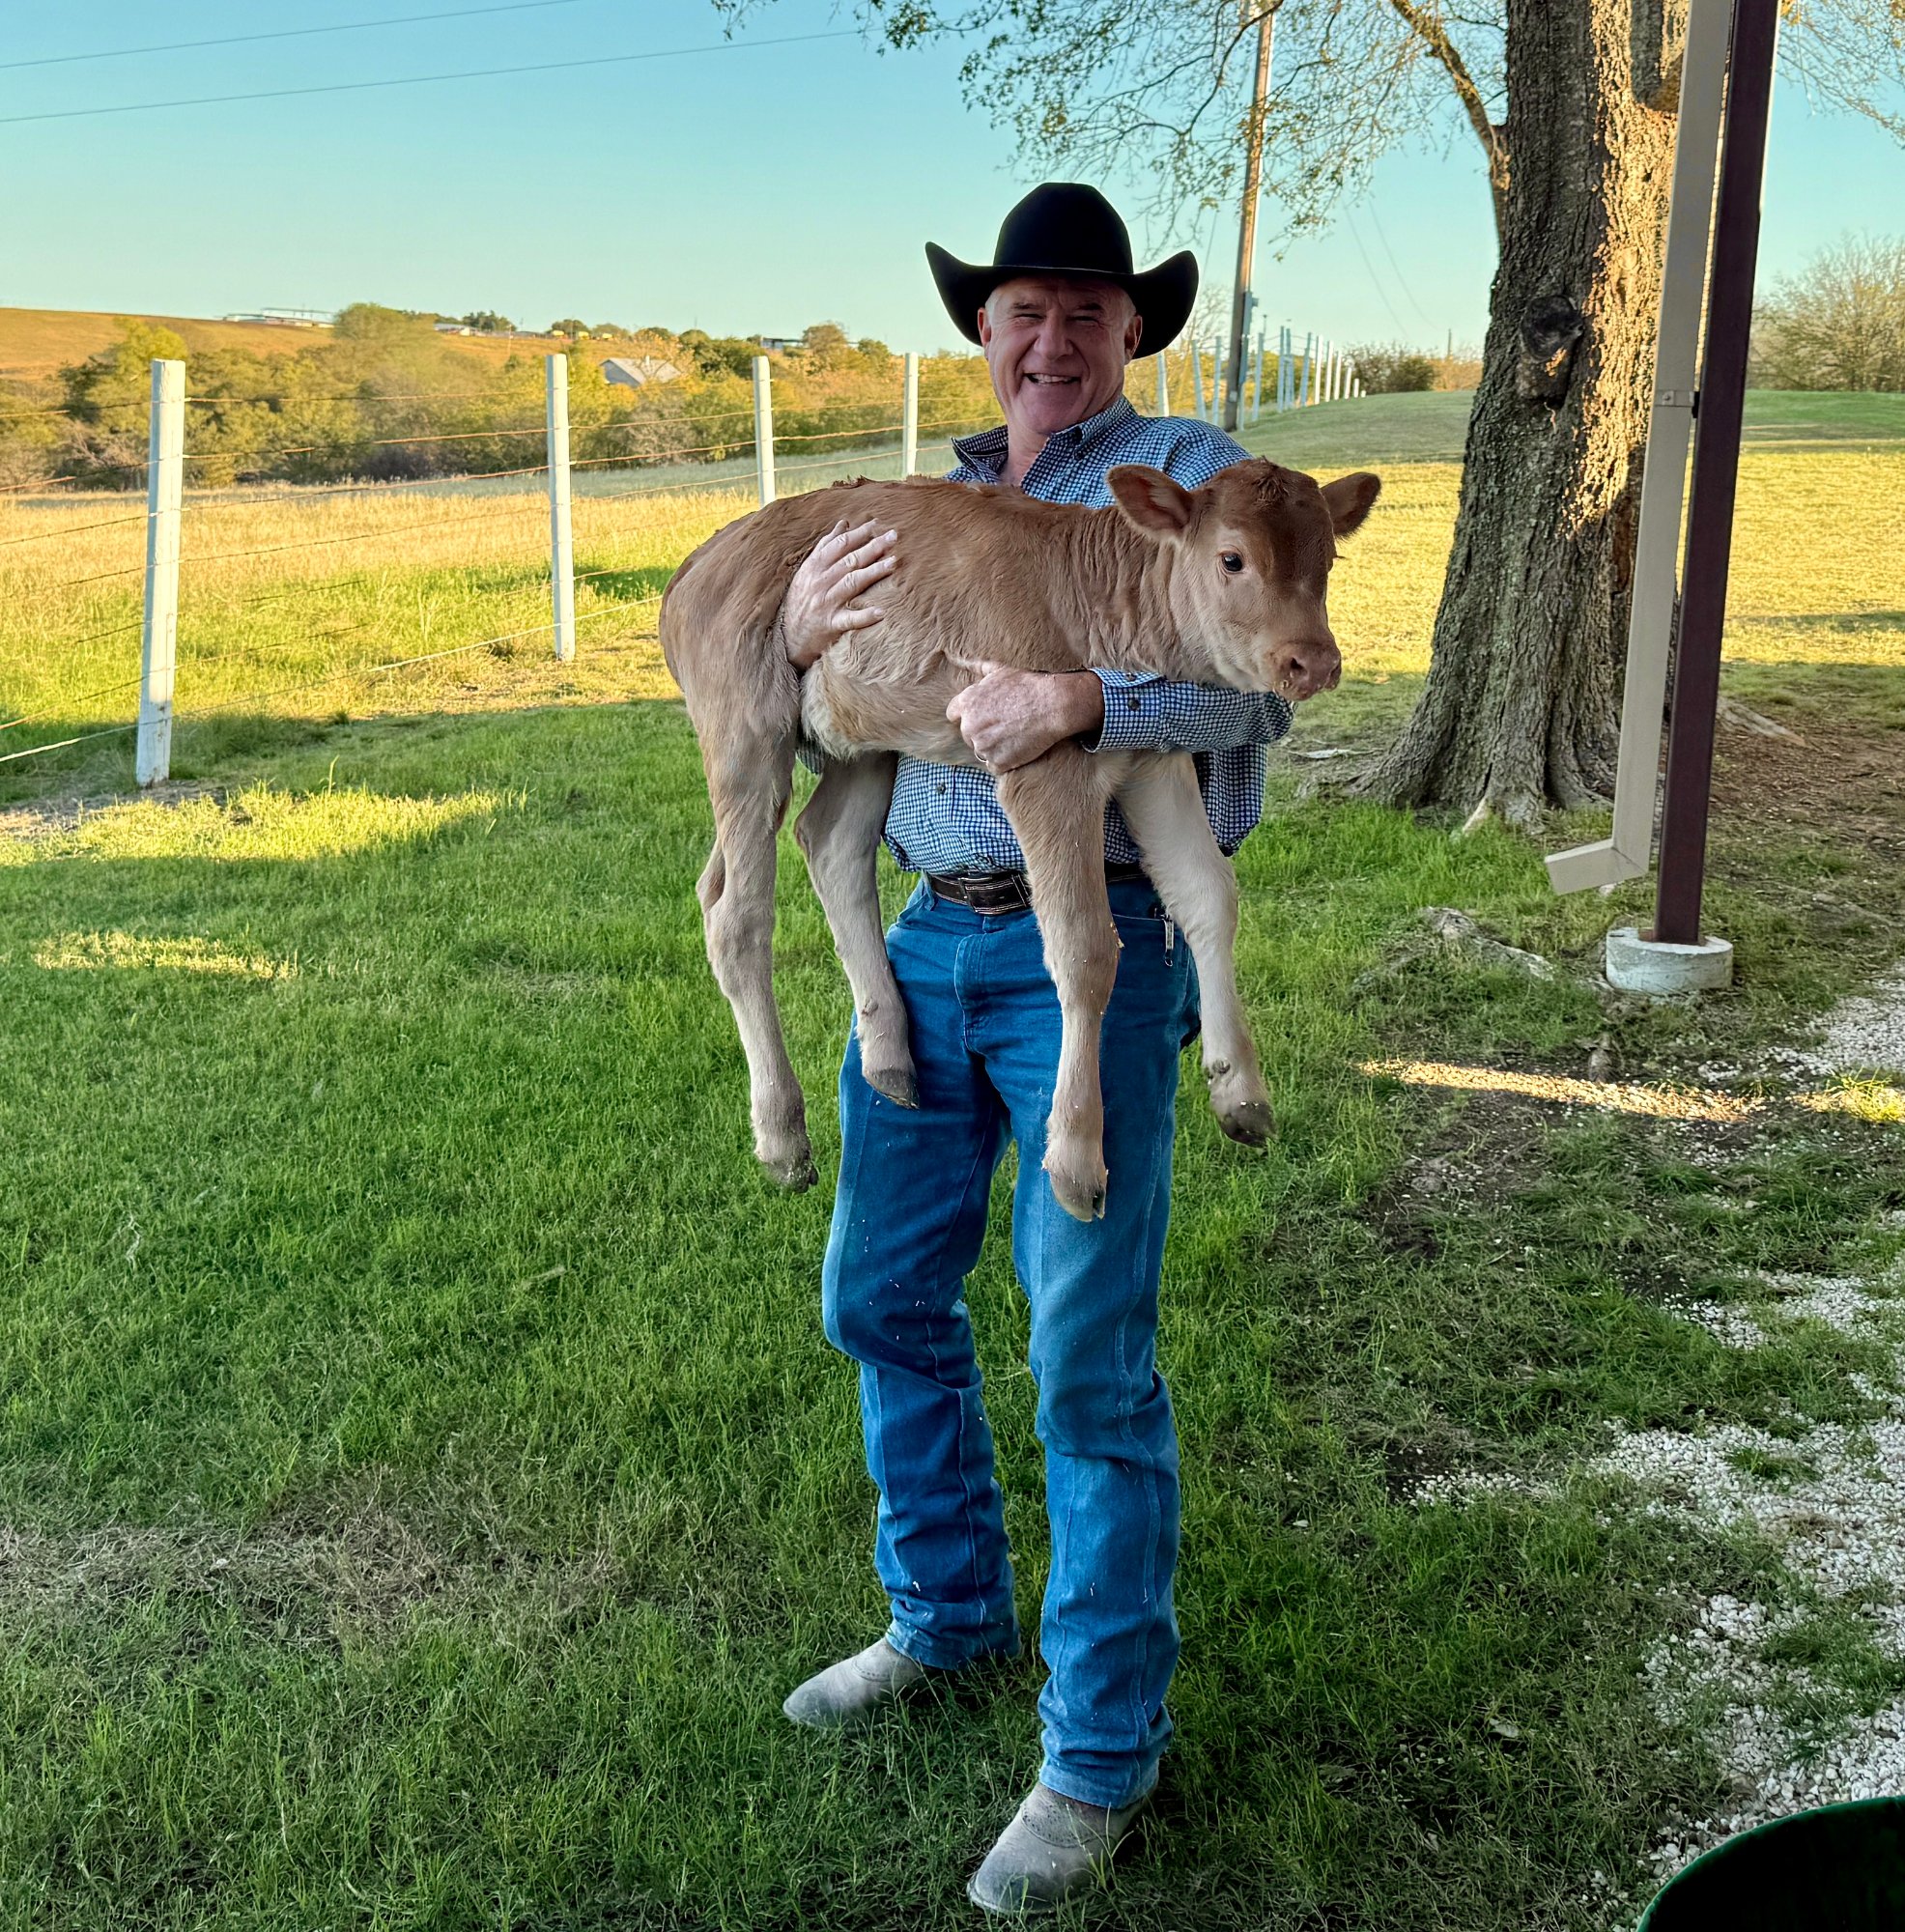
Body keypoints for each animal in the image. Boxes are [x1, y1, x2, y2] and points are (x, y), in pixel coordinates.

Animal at [659, 457, 1381, 1221]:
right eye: (1232, 558)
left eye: (1328, 559)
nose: (1312, 661)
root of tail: (698, 562)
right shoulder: (1044, 766)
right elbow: (1085, 947)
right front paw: (1076, 1160)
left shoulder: (1152, 757)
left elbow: (1208, 895)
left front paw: (1240, 1092)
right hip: (745, 726)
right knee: (736, 915)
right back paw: (782, 1136)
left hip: (866, 738)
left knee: (826, 843)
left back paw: (889, 1056)